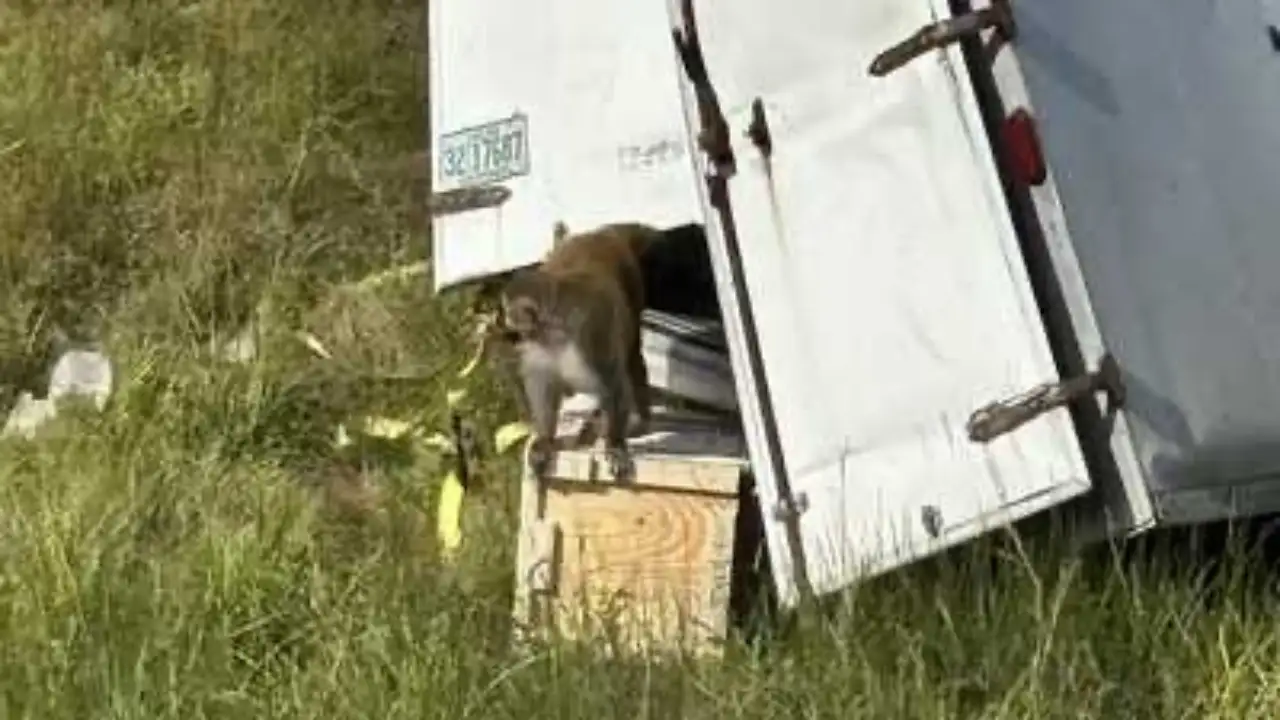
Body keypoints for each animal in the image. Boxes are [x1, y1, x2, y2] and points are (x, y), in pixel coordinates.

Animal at [497, 222, 660, 479]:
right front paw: (545, 440)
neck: (553, 328)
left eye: (506, 308)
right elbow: (543, 386)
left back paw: (638, 419)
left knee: (632, 355)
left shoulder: (589, 332)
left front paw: (615, 444)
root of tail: (599, 234)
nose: (505, 319)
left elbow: (612, 383)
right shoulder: (538, 346)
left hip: (631, 282)